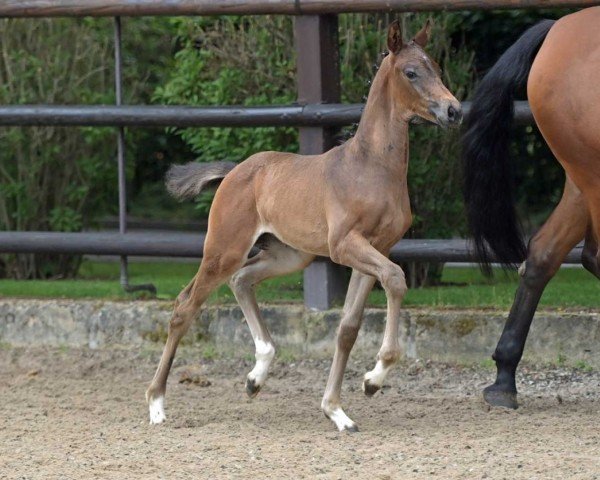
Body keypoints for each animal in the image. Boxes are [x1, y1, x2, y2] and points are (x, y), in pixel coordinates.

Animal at [146, 20, 464, 432]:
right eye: (411, 72)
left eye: (437, 68)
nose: (453, 110)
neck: (371, 168)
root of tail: (233, 172)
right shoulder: (346, 246)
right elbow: (395, 279)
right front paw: (373, 380)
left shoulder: (376, 248)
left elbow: (348, 327)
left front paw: (339, 409)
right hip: (224, 249)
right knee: (185, 306)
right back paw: (157, 404)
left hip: (289, 256)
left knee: (241, 281)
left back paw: (256, 375)